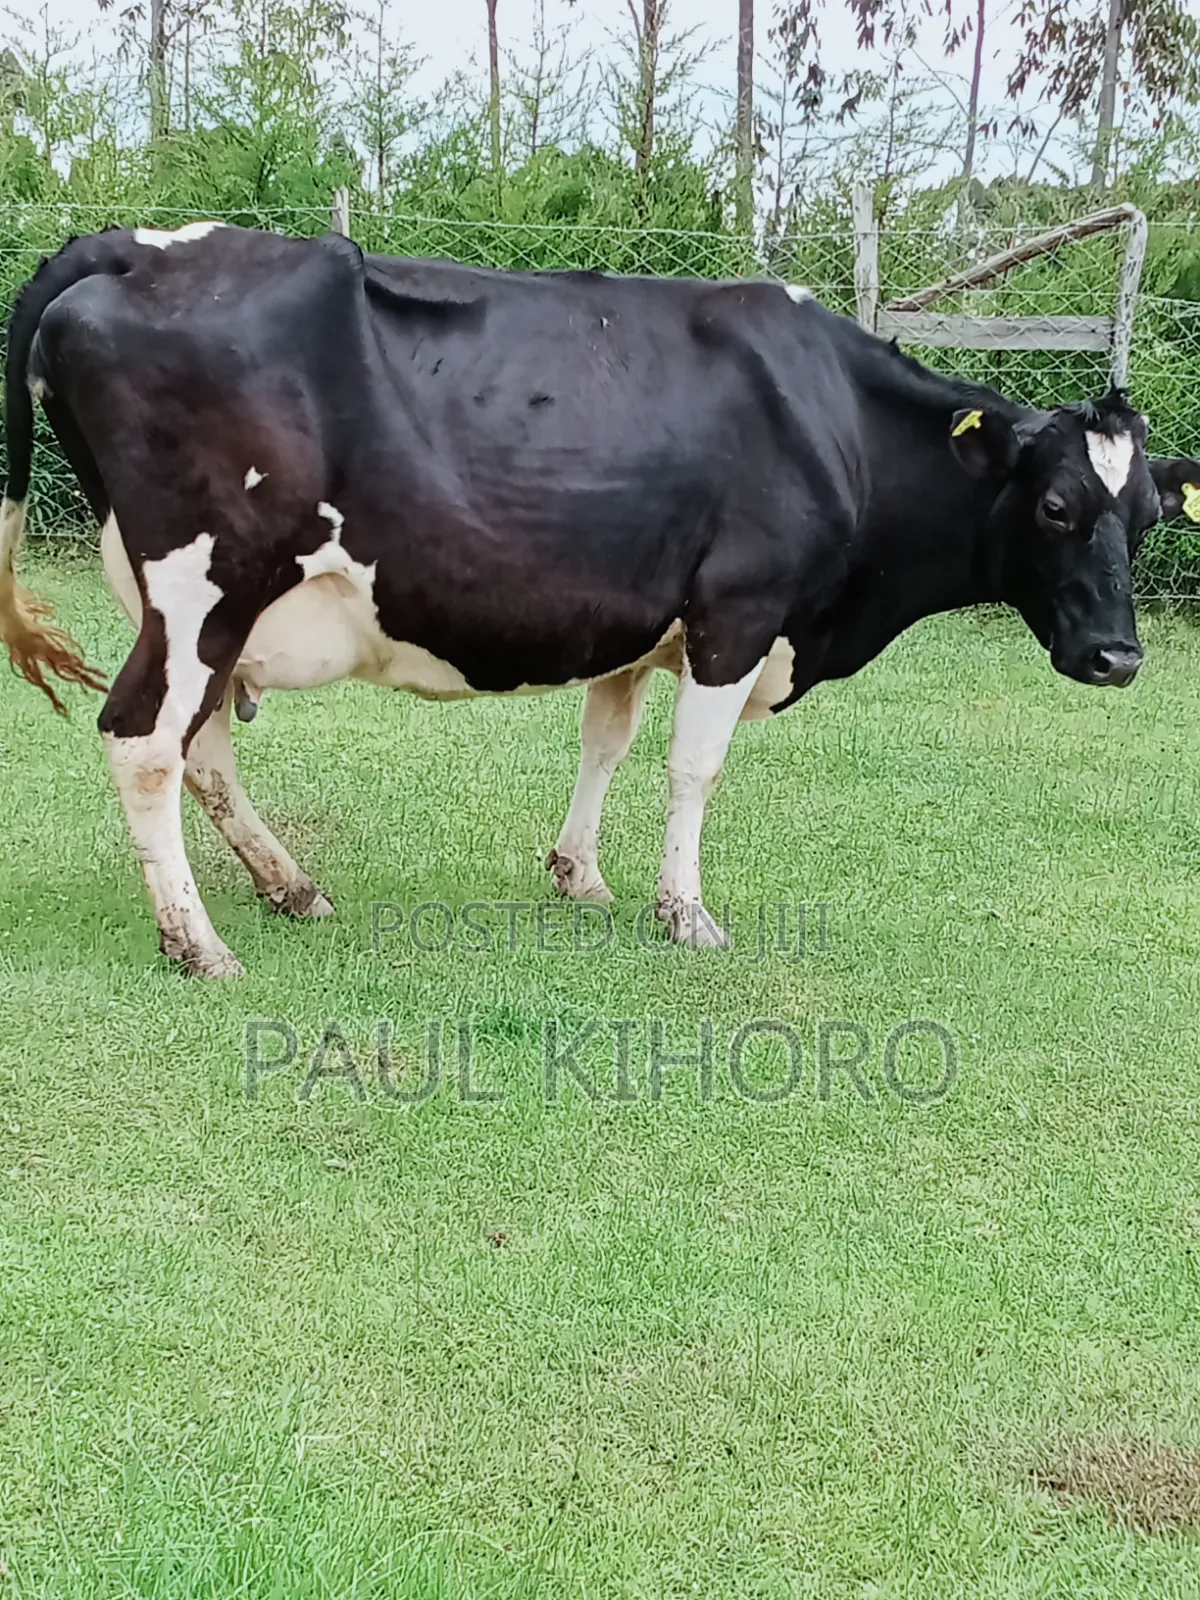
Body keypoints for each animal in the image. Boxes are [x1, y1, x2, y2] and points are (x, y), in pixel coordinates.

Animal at [1, 223, 1197, 977]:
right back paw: (200, 944)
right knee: (143, 739)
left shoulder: (635, 618)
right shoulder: (737, 613)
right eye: (1055, 506)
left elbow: (606, 741)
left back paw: (288, 886)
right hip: (204, 583)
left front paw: (579, 873)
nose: (1118, 658)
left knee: (199, 747)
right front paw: (687, 911)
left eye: (1147, 515)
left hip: (203, 611)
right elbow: (693, 766)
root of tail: (131, 243)